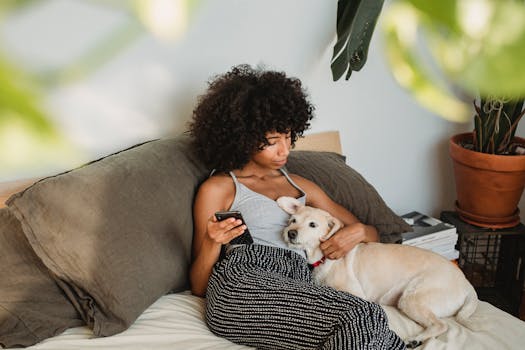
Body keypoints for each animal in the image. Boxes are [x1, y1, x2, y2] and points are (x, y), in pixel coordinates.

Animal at [278, 196, 478, 346]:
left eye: (312, 225)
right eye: (293, 221)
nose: (290, 233)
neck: (323, 259)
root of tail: (468, 286)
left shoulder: (357, 293)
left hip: (411, 298)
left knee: (442, 325)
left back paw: (415, 339)